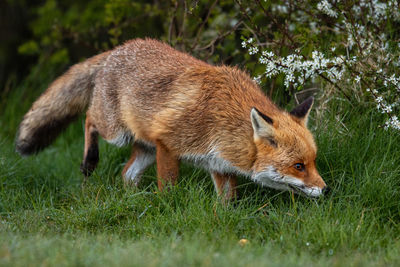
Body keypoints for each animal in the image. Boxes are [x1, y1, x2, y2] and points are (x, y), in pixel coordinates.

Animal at [15, 38, 328, 200]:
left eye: (312, 162)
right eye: (298, 166)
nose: (326, 189)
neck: (224, 118)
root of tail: (117, 49)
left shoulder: (219, 163)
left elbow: (226, 202)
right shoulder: (168, 144)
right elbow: (169, 187)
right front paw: (166, 207)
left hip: (144, 147)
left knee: (126, 174)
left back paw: (132, 200)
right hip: (117, 133)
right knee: (89, 119)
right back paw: (90, 161)